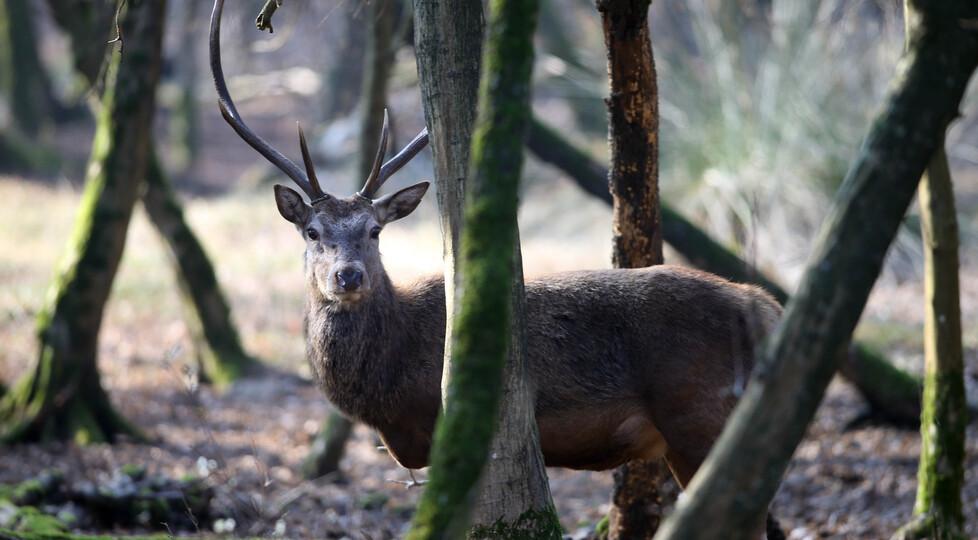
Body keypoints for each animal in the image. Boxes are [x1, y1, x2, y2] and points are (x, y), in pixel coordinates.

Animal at [210, 0, 784, 535]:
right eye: (312, 232)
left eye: (374, 231)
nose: (348, 276)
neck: (386, 391)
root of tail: (764, 308)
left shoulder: (444, 430)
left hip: (699, 415)